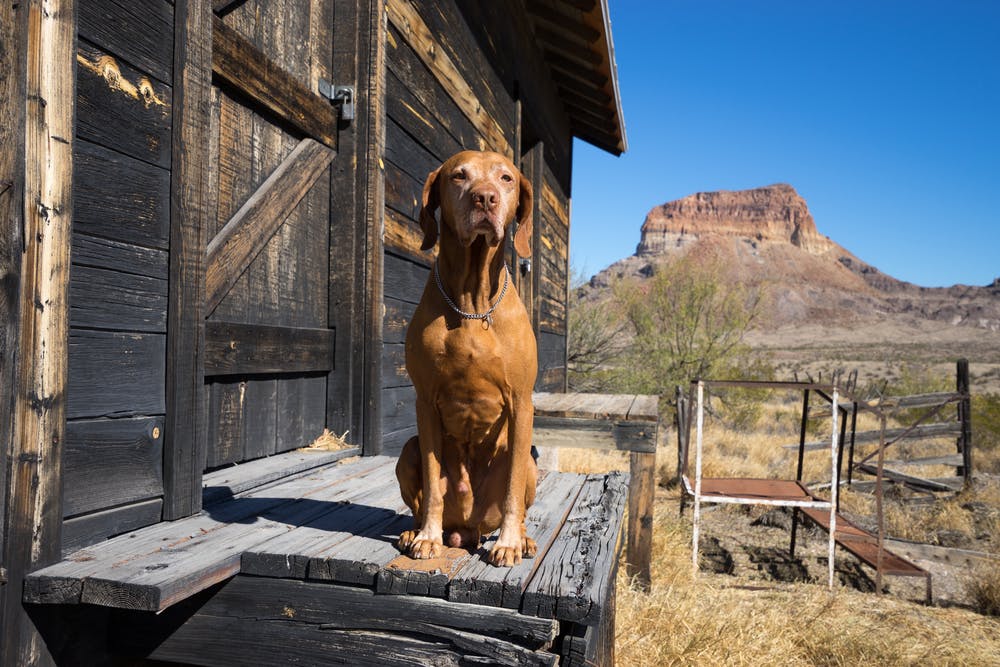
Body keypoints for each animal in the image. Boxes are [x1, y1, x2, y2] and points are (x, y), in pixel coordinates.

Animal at [396, 153, 540, 568]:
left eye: (506, 178)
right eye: (459, 176)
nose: (485, 198)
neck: (472, 302)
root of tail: (468, 529)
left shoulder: (522, 402)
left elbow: (512, 492)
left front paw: (508, 543)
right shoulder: (425, 402)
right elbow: (431, 482)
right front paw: (427, 536)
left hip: (529, 463)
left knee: (519, 495)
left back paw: (522, 538)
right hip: (407, 451)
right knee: (420, 496)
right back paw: (415, 531)